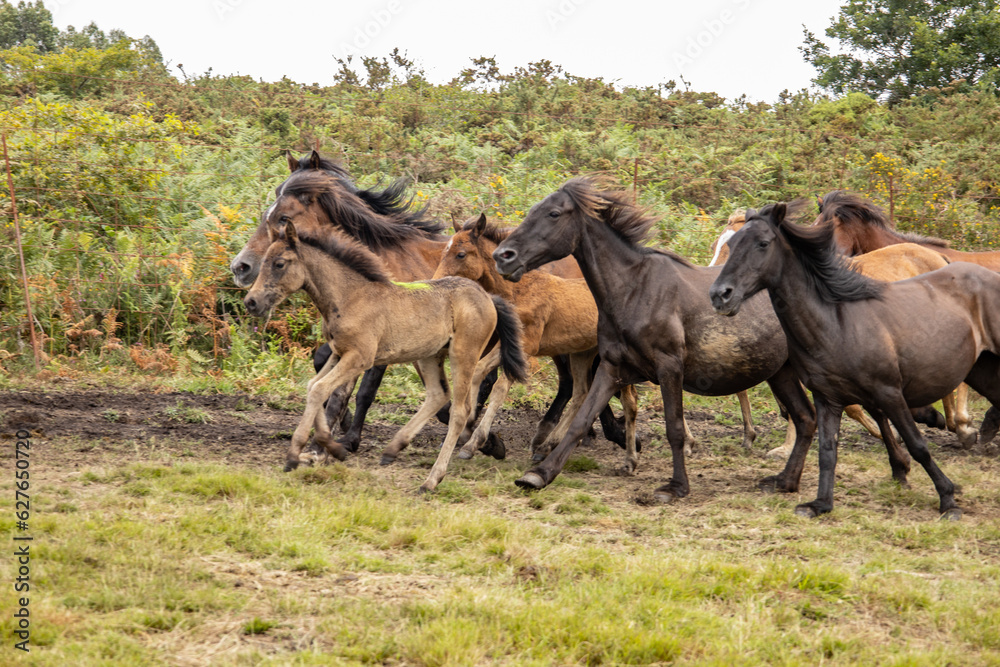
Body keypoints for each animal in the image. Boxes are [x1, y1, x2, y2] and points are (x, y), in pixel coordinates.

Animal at [243, 218, 527, 491]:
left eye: (279, 263)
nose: (251, 302)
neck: (350, 297)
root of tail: (488, 296)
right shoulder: (338, 353)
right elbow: (315, 387)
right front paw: (330, 448)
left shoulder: (360, 357)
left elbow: (320, 389)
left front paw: (296, 455)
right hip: (429, 355)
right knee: (438, 394)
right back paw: (394, 448)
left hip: (463, 354)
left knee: (460, 411)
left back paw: (432, 480)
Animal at [432, 212, 639, 465]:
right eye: (444, 251)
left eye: (460, 254)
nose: (436, 280)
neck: (519, 291)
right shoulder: (507, 345)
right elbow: (479, 371)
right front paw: (469, 425)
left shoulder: (526, 347)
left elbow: (500, 388)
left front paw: (474, 442)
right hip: (582, 353)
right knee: (581, 392)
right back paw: (547, 446)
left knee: (629, 401)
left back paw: (630, 458)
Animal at [493, 177, 818, 500]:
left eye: (554, 214)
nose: (502, 256)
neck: (635, 290)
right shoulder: (612, 368)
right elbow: (581, 420)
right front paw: (539, 474)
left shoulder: (669, 367)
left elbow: (674, 428)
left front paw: (676, 486)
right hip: (780, 372)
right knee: (806, 418)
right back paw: (786, 480)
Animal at [710, 202, 1000, 519]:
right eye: (729, 245)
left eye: (762, 243)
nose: (719, 294)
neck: (836, 320)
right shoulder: (827, 396)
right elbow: (827, 448)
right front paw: (819, 503)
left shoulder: (888, 390)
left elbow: (916, 443)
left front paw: (947, 497)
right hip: (981, 368)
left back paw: (962, 429)